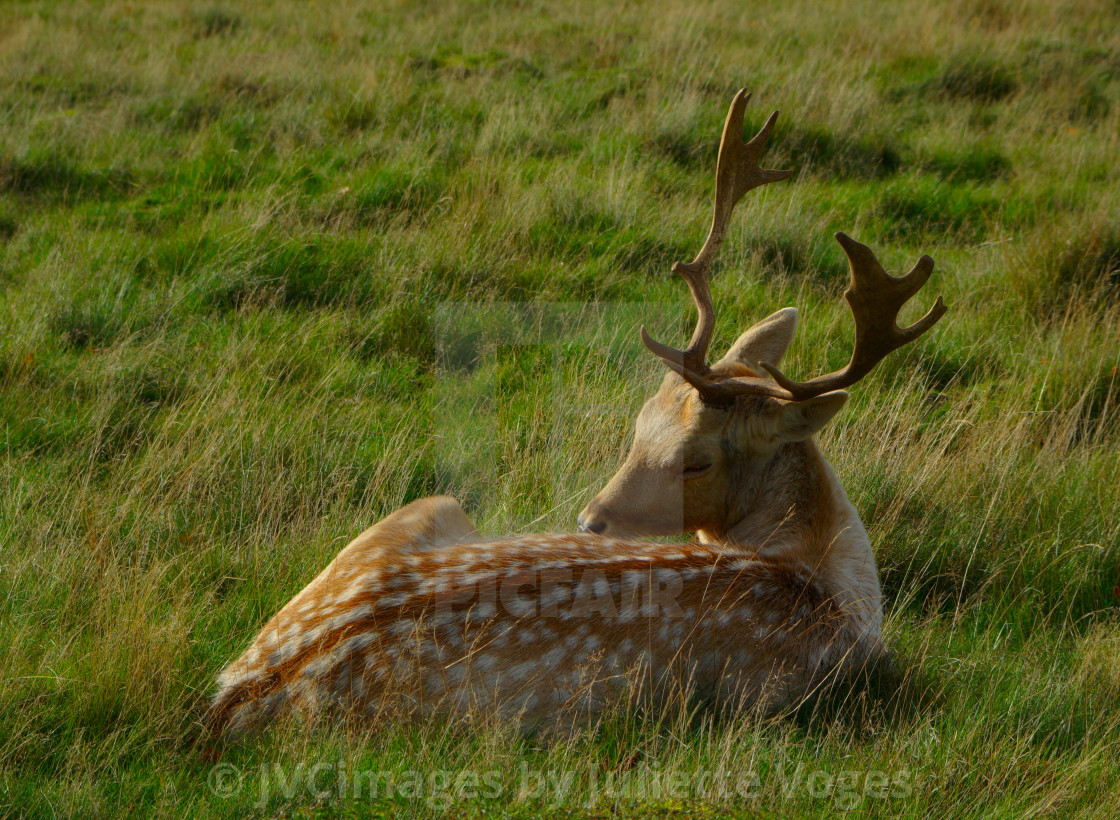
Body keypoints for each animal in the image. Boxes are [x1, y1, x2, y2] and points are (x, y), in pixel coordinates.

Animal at [203, 89, 945, 734]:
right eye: (639, 423)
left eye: (696, 461)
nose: (589, 523)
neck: (824, 577)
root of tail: (235, 696)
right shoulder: (792, 693)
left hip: (423, 510)